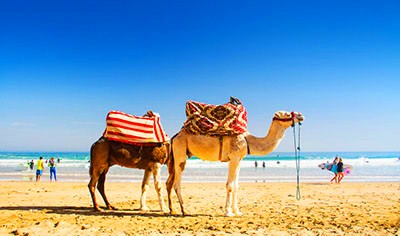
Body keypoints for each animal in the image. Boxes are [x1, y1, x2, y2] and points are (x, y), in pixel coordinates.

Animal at [166, 110, 304, 216]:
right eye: (287, 113)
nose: (300, 115)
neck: (247, 140)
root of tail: (175, 136)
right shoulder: (234, 158)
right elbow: (230, 185)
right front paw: (228, 212)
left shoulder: (239, 159)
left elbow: (237, 186)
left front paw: (237, 211)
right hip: (180, 153)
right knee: (177, 183)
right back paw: (184, 211)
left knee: (170, 182)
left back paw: (173, 210)